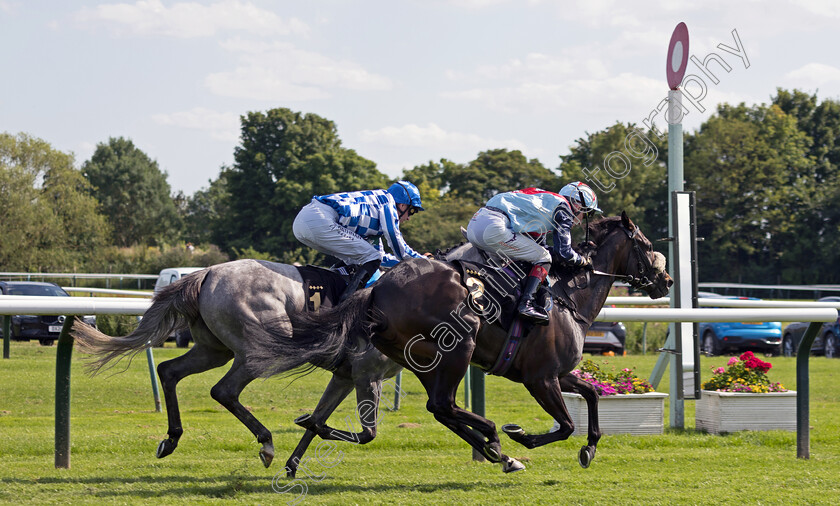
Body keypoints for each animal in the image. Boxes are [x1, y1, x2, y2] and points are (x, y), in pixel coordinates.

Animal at [71, 258, 400, 476]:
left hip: (214, 350)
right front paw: (299, 436)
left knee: (168, 371)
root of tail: (206, 273)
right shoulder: (367, 374)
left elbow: (319, 420)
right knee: (224, 390)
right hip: (261, 351)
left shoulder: (346, 376)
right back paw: (266, 442)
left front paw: (293, 463)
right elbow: (365, 432)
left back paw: (171, 439)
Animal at [278, 213, 672, 474]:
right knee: (444, 406)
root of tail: (376, 289)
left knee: (441, 408)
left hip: (422, 361)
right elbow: (564, 425)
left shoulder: (559, 373)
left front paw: (589, 448)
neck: (567, 296)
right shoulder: (540, 378)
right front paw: (519, 435)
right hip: (458, 347)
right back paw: (496, 438)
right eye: (647, 245)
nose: (666, 280)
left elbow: (590, 395)